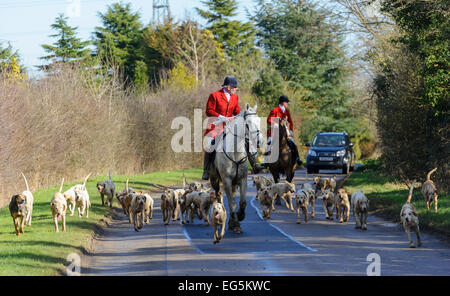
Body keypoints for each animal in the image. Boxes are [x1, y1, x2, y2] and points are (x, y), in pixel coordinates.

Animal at [208, 103, 264, 234]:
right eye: (248, 122)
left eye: (259, 120)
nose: (260, 141)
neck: (235, 151)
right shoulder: (227, 180)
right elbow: (232, 203)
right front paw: (236, 223)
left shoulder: (242, 179)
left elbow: (242, 202)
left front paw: (239, 217)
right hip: (216, 181)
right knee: (220, 196)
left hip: (234, 182)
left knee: (232, 196)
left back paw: (231, 222)